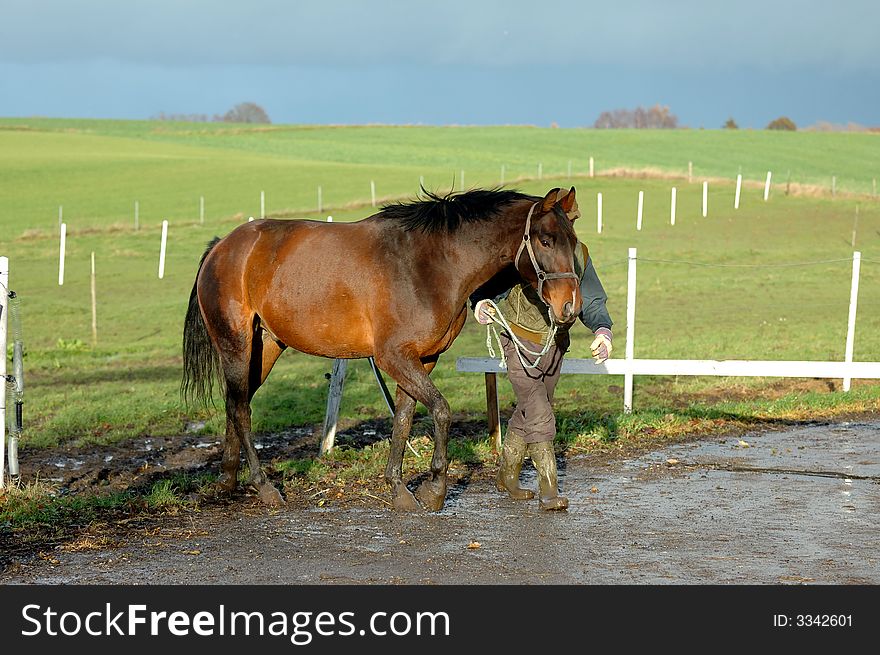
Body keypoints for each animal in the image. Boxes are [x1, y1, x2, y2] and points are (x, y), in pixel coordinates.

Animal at [184, 187, 584, 510]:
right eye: (545, 241)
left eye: (572, 239)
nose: (569, 307)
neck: (429, 265)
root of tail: (222, 247)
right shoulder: (393, 357)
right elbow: (441, 411)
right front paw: (435, 488)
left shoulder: (423, 359)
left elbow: (404, 419)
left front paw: (398, 488)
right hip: (236, 345)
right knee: (241, 409)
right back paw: (264, 487)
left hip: (265, 346)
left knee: (236, 404)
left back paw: (228, 480)